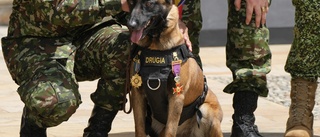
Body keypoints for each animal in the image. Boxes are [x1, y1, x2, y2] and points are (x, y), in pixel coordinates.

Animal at [127, 0, 222, 136]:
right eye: (130, 2)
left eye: (149, 4)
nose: (131, 25)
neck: (155, 48)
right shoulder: (137, 93)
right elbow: (139, 127)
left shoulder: (176, 96)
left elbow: (170, 130)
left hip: (206, 110)